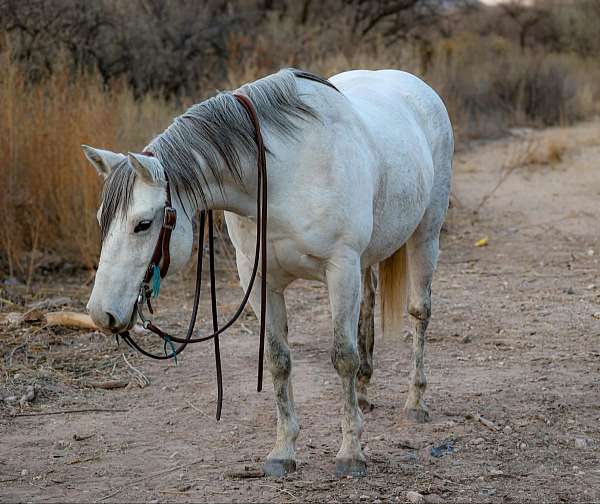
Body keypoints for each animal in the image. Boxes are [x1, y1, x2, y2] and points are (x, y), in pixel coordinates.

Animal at [82, 69, 452, 478]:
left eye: (143, 224)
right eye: (102, 220)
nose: (101, 313)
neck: (281, 175)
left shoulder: (341, 268)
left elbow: (342, 357)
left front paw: (351, 452)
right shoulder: (259, 280)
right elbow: (279, 360)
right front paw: (283, 450)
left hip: (425, 235)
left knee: (419, 314)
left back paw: (415, 402)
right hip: (369, 257)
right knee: (368, 310)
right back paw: (366, 393)